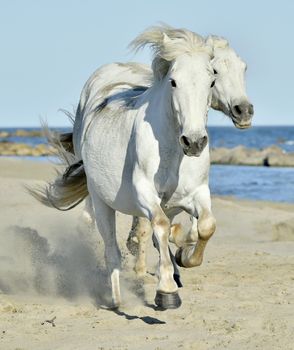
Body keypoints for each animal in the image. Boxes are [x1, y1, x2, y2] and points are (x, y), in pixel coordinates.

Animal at [32, 25, 216, 308]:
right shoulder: (144, 193)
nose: (194, 142)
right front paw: (166, 293)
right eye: (174, 82)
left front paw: (184, 257)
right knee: (111, 249)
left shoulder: (197, 192)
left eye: (212, 82)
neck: (172, 149)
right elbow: (160, 226)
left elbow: (206, 226)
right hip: (101, 201)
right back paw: (116, 299)